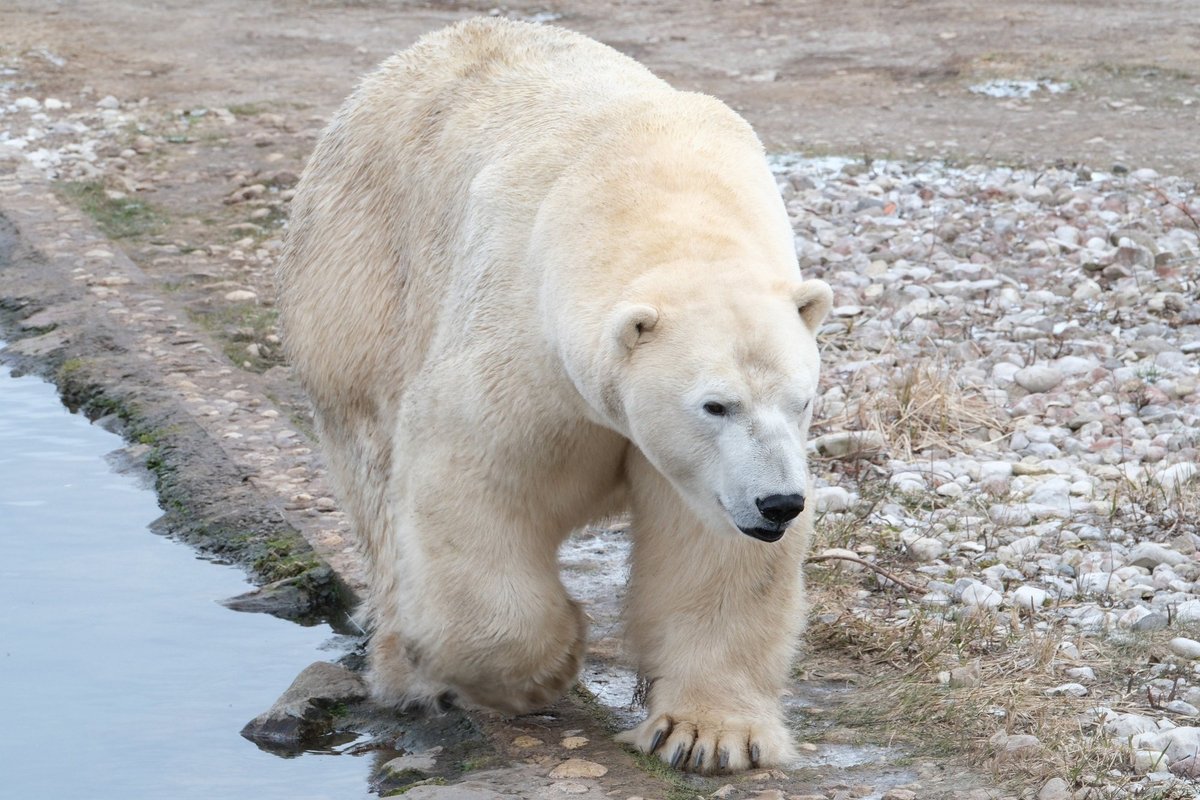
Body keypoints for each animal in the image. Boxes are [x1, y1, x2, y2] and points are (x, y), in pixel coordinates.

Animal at [276, 15, 830, 772]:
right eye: (715, 405)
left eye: (801, 401)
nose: (778, 503)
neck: (656, 189)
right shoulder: (524, 341)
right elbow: (472, 483)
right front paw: (548, 666)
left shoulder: (721, 468)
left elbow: (713, 544)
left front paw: (709, 735)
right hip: (359, 284)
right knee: (376, 481)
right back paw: (405, 669)